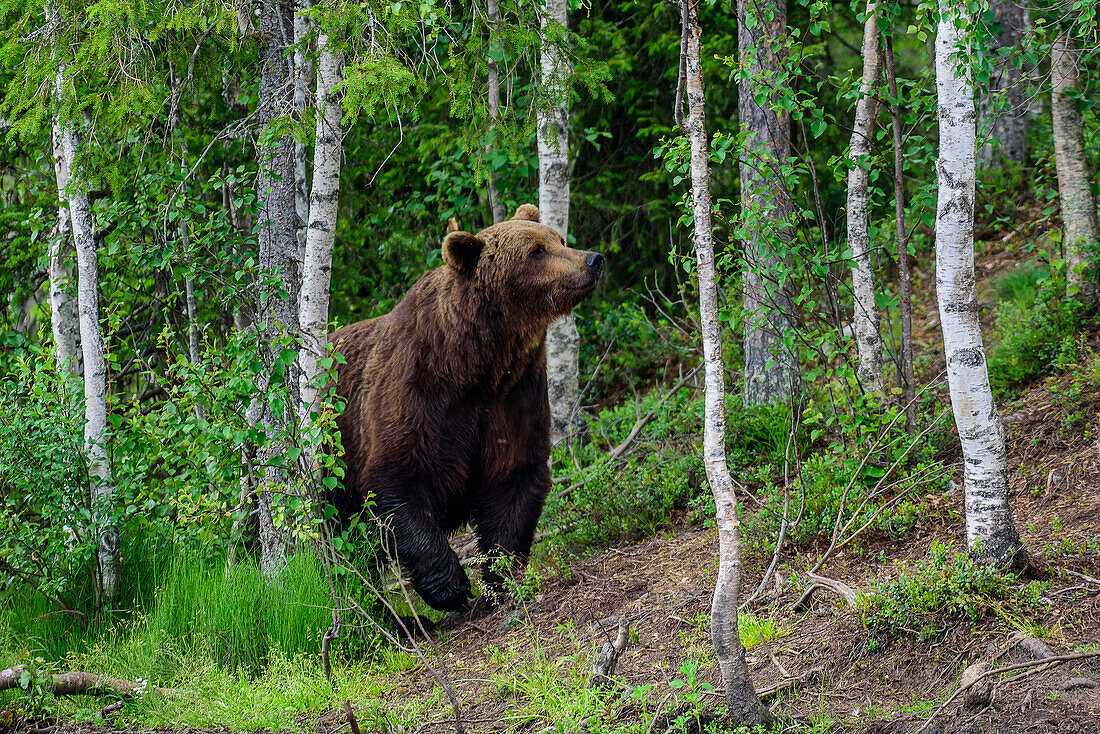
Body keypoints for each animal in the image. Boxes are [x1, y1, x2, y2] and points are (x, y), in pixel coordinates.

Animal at [327, 203, 602, 611]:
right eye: (536, 251)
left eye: (559, 239)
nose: (593, 259)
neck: (476, 365)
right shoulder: (415, 394)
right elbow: (396, 483)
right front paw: (452, 587)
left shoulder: (514, 396)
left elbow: (513, 479)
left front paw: (501, 579)